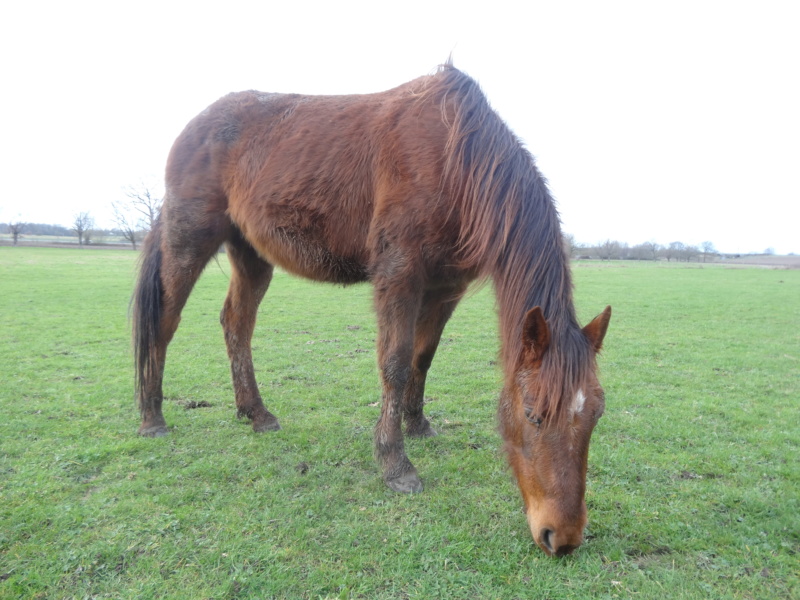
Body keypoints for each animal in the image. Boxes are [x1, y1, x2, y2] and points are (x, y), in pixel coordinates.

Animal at [134, 62, 612, 556]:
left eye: (596, 414)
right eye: (534, 415)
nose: (563, 536)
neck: (455, 158)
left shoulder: (446, 288)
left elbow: (423, 357)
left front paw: (417, 424)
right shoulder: (398, 274)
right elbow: (396, 364)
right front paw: (395, 463)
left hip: (251, 254)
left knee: (237, 324)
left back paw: (256, 414)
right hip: (189, 239)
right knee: (164, 323)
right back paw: (152, 417)